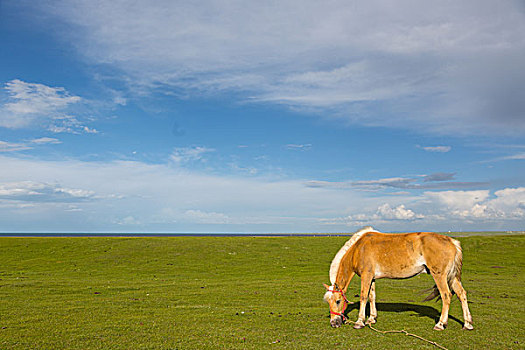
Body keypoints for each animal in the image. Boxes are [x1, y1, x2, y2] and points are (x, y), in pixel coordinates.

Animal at [322, 227, 472, 330]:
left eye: (338, 301)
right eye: (328, 302)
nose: (334, 323)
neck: (358, 249)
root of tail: (452, 241)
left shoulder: (366, 276)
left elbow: (364, 296)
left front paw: (360, 322)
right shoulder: (372, 278)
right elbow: (372, 296)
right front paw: (372, 319)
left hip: (440, 276)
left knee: (446, 296)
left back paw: (441, 324)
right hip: (452, 278)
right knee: (461, 294)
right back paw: (467, 323)